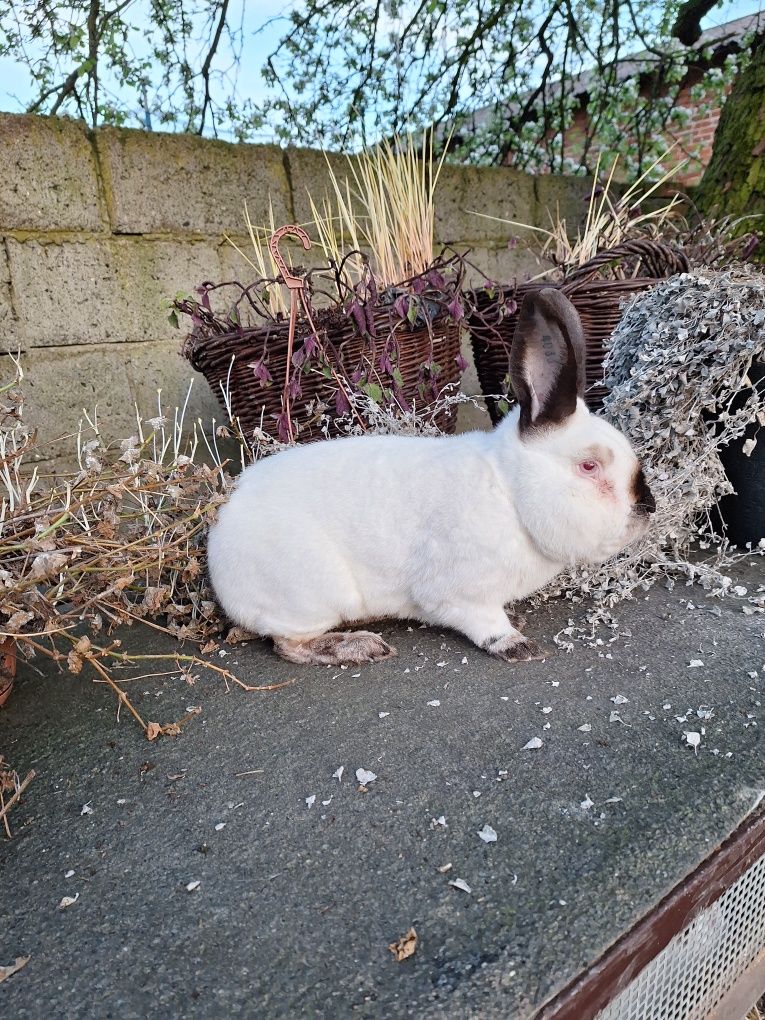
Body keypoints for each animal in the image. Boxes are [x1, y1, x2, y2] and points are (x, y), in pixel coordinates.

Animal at [207, 291, 656, 665]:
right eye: (589, 467)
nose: (648, 508)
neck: (510, 495)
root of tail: (218, 540)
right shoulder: (460, 595)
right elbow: (485, 623)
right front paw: (516, 645)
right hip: (313, 595)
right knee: (288, 644)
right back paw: (361, 647)